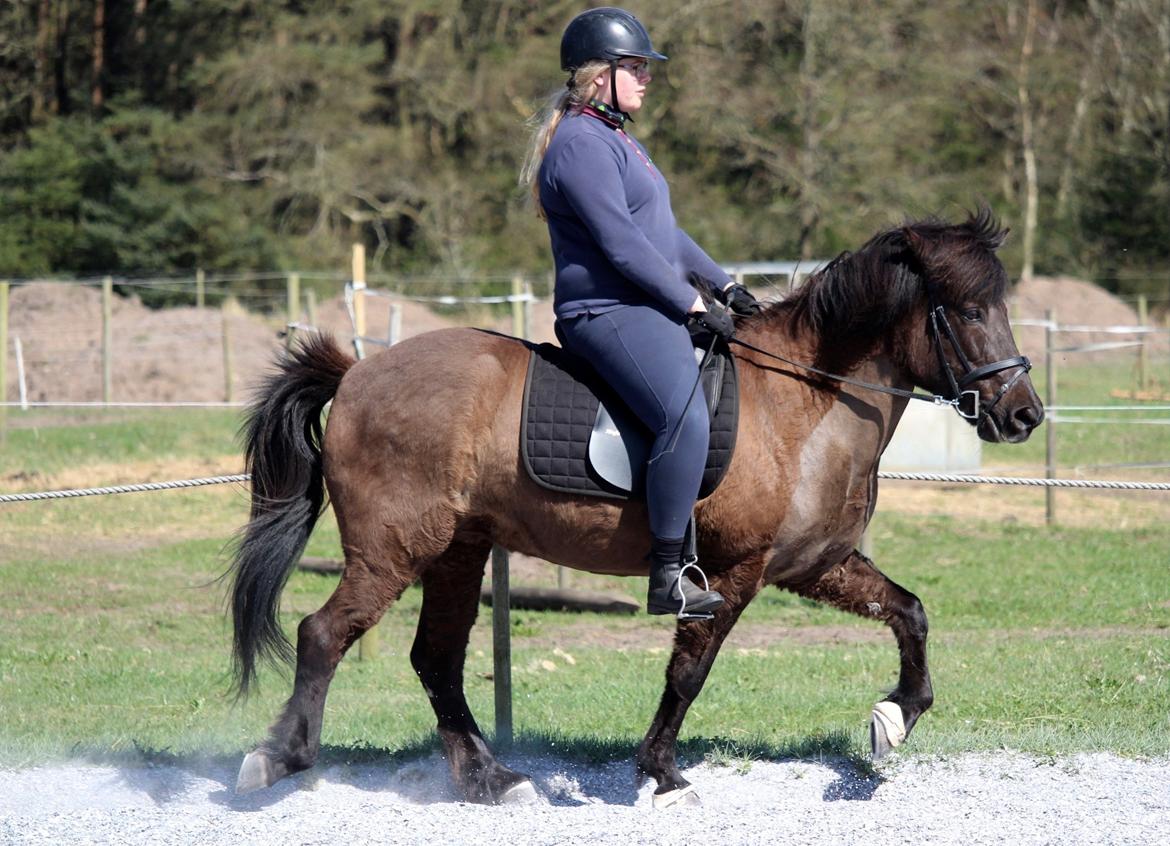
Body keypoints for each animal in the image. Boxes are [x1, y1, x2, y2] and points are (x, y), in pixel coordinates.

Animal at [225, 210, 1043, 809]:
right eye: (969, 311)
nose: (1025, 415)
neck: (805, 400)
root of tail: (358, 371)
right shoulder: (730, 573)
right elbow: (689, 673)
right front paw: (661, 773)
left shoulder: (815, 565)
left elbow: (910, 612)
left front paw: (895, 716)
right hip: (394, 548)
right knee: (324, 633)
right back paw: (278, 759)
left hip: (457, 549)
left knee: (436, 658)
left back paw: (491, 780)